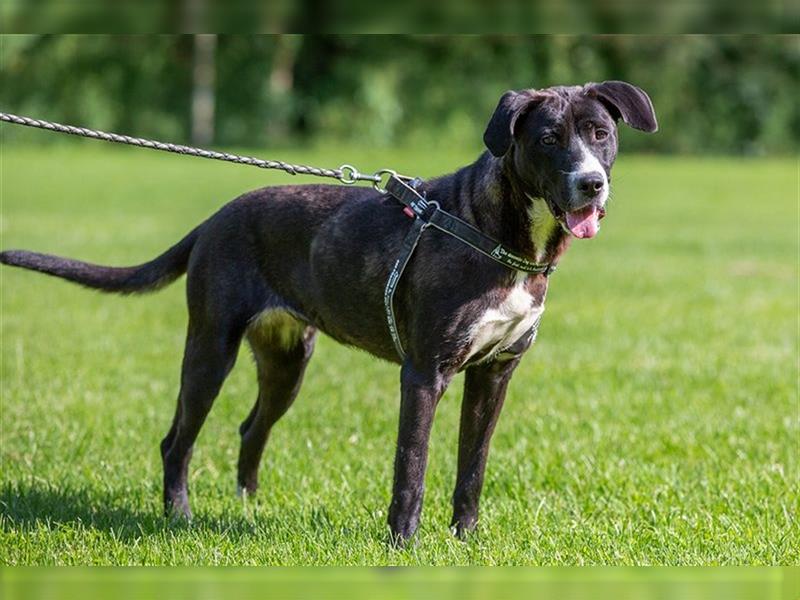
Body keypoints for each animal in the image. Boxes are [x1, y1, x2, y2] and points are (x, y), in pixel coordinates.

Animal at [1, 81, 656, 544]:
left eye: (600, 133)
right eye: (547, 139)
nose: (591, 184)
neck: (498, 235)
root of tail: (213, 220)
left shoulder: (495, 373)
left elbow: (472, 469)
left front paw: (465, 543)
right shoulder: (425, 374)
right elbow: (412, 469)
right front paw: (403, 546)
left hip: (288, 359)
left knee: (250, 428)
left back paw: (247, 509)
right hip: (210, 347)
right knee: (176, 441)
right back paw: (180, 517)